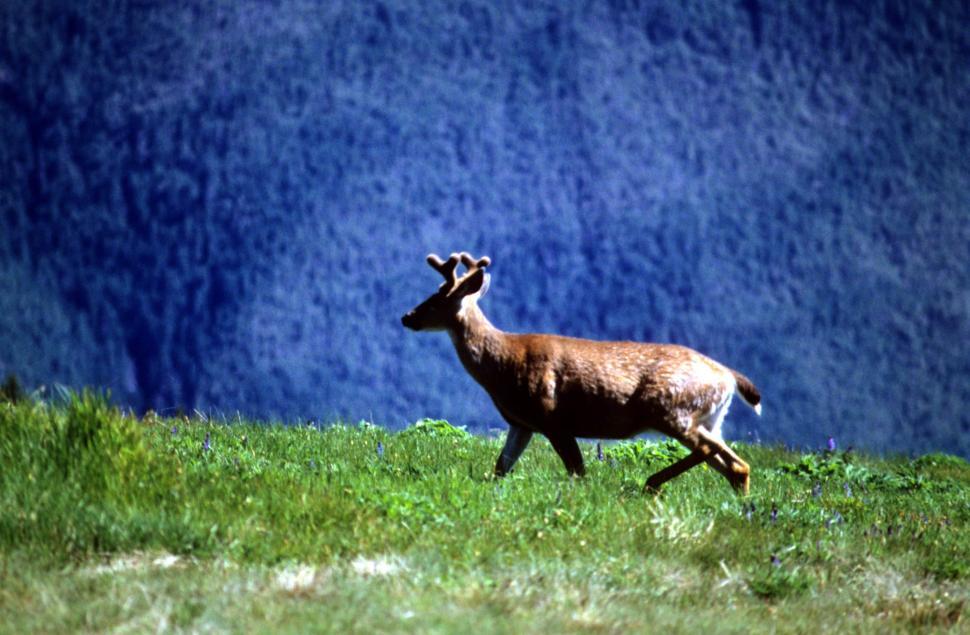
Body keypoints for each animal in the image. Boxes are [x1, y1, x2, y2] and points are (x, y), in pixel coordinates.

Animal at [401, 252, 762, 495]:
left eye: (435, 301)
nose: (407, 317)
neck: (503, 363)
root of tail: (728, 376)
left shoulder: (552, 417)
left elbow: (577, 470)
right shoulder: (522, 422)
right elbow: (501, 467)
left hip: (671, 408)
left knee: (717, 454)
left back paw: (652, 483)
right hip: (708, 418)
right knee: (733, 463)